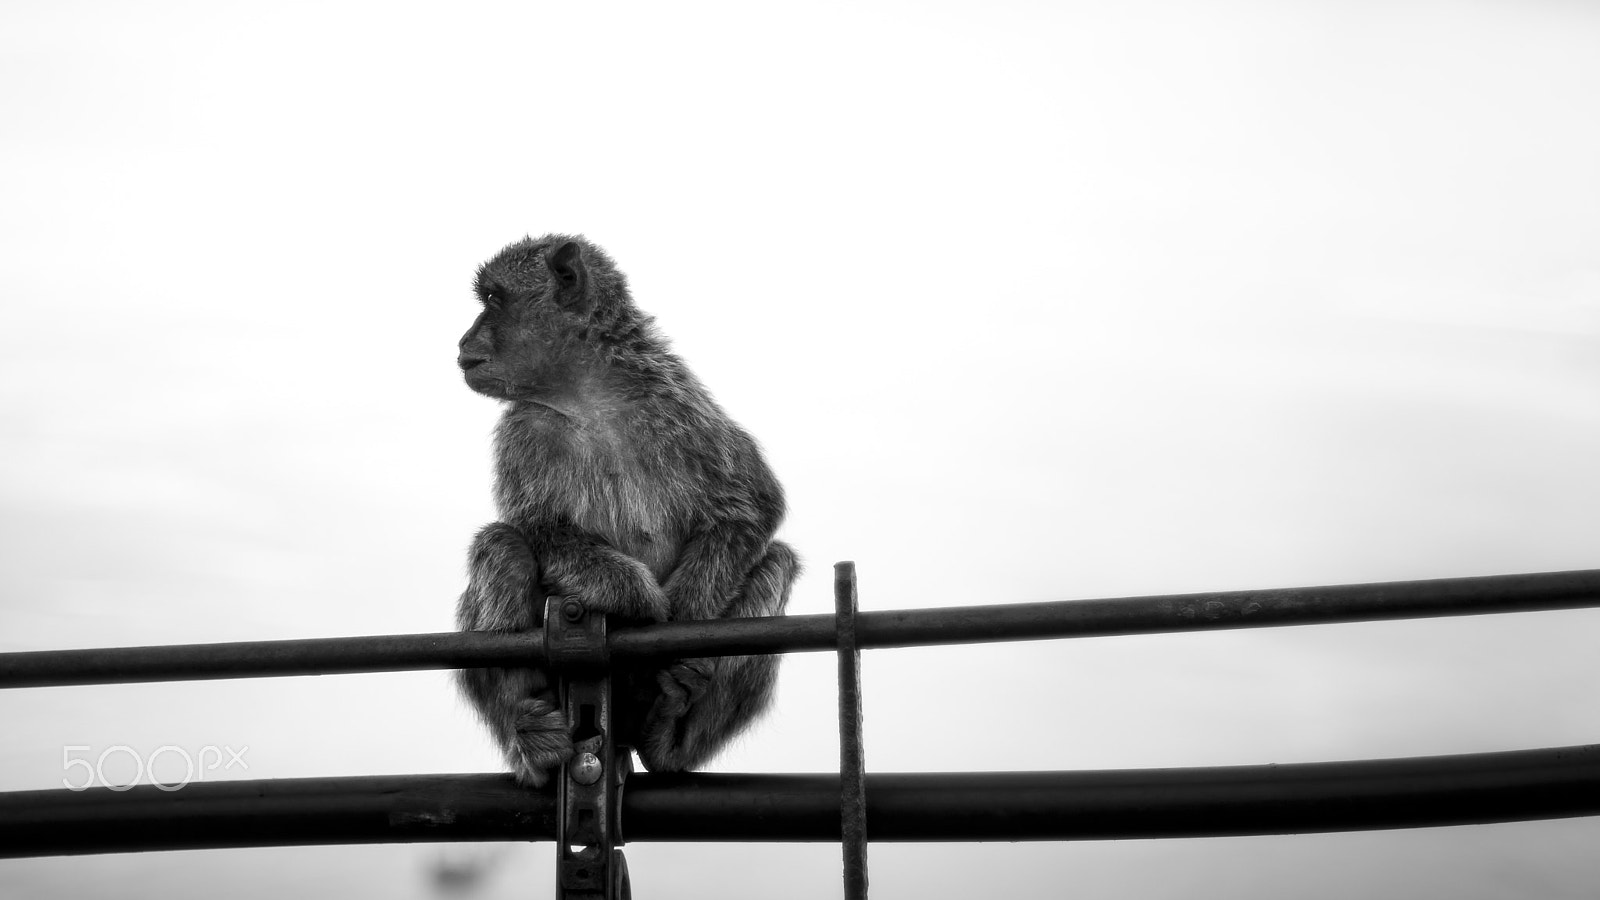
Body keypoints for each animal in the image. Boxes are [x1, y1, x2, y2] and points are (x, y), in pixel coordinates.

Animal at [451, 232, 800, 784]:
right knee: (501, 545)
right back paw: (530, 734)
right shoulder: (524, 432)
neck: (586, 395)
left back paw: (671, 735)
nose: (464, 341)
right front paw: (639, 596)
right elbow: (542, 528)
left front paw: (683, 611)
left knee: (777, 561)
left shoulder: (677, 403)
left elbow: (751, 504)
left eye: (493, 300)